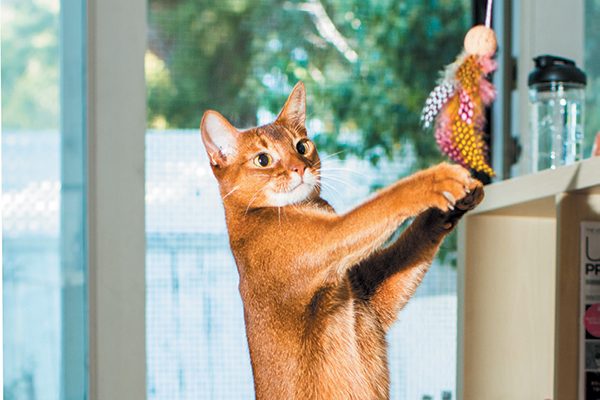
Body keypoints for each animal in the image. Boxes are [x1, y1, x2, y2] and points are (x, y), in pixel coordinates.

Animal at [200, 82, 482, 400]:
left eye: (302, 146)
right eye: (263, 159)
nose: (300, 168)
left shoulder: (370, 298)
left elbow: (414, 241)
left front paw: (455, 203)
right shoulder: (329, 237)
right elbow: (384, 202)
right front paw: (437, 180)